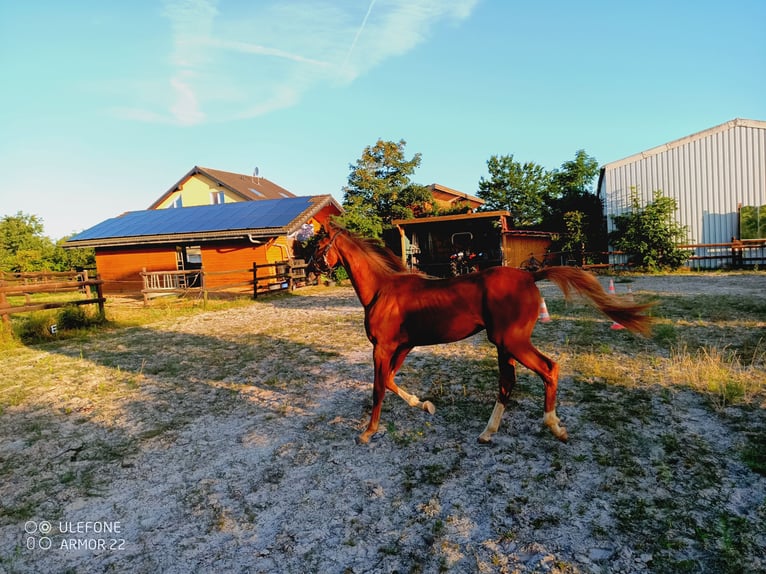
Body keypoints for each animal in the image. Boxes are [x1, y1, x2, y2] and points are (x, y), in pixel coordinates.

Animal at [318, 225, 656, 446]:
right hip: (504, 344)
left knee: (548, 369)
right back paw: (489, 432)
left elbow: (378, 388)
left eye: (319, 244)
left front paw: (368, 432)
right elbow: (389, 381)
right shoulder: (402, 346)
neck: (382, 291)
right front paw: (424, 404)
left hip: (512, 342)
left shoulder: (384, 348)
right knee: (508, 382)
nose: (311, 267)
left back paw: (553, 426)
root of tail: (531, 276)